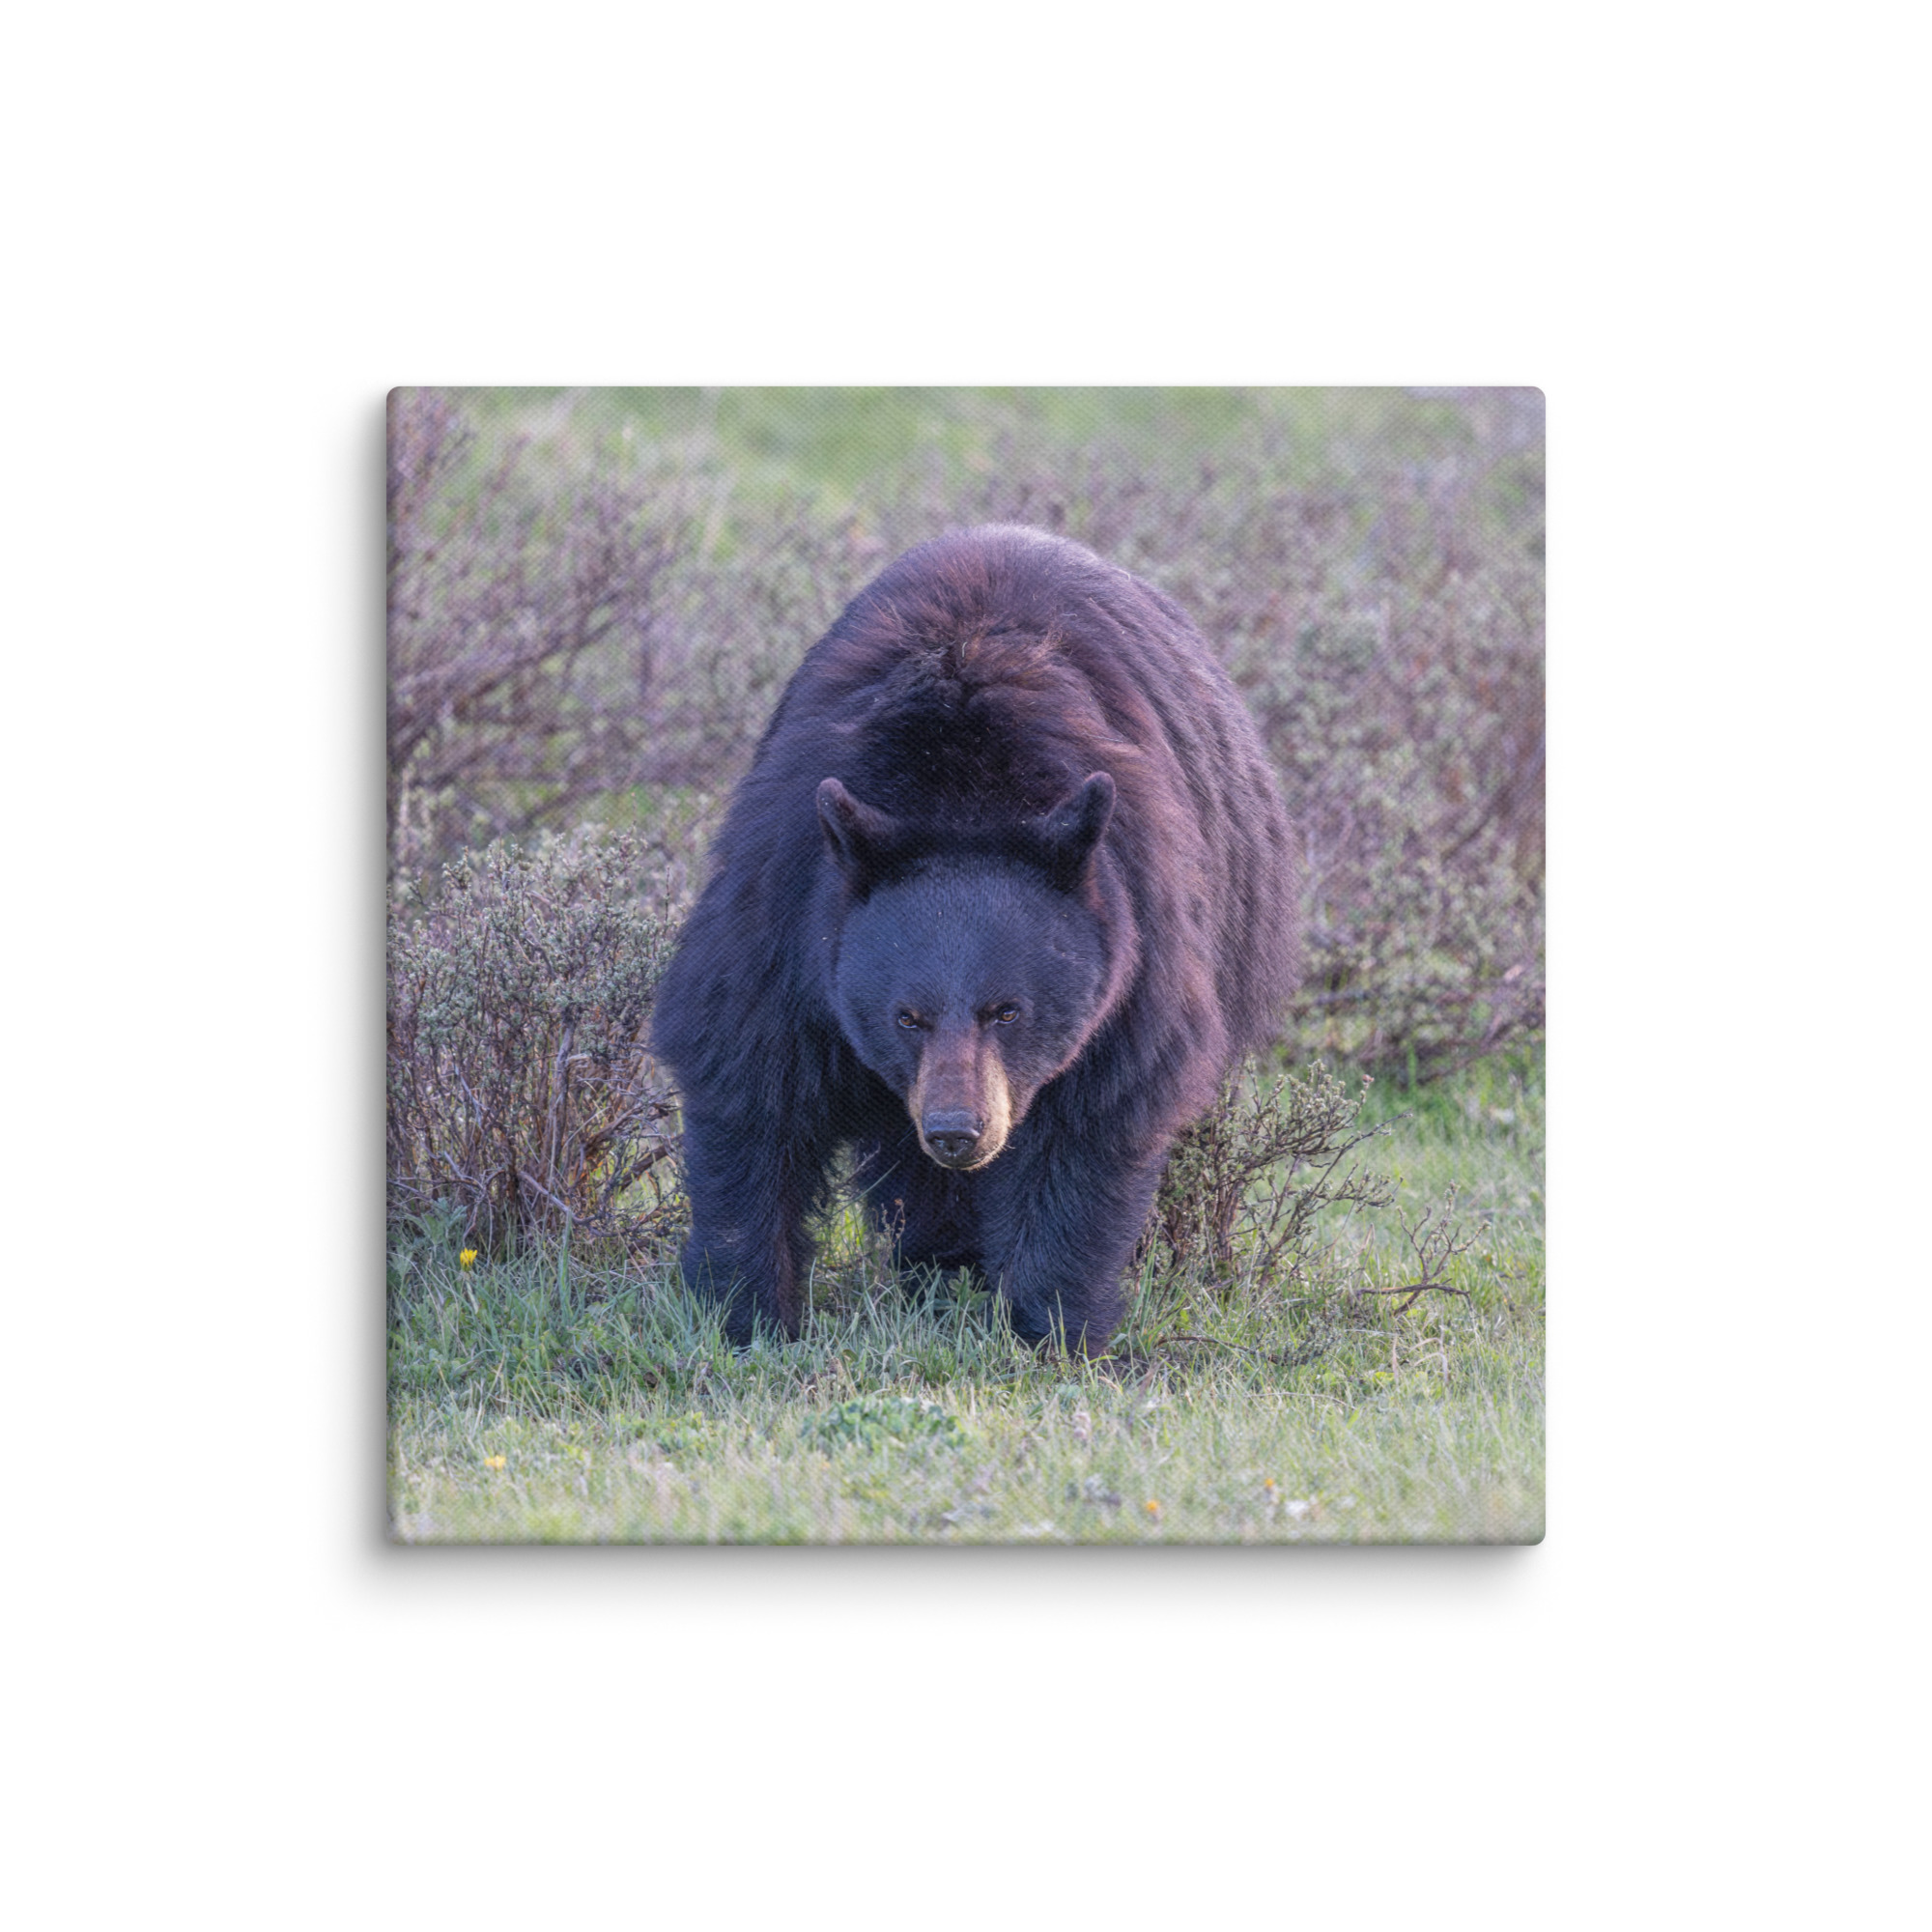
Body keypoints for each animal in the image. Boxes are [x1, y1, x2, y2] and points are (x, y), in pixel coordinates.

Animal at [650, 524, 1300, 1353]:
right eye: (907, 1016)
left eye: (1008, 1010)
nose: (959, 1132)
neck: (959, 791)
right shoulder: (788, 906)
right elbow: (749, 1080)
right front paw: (747, 1312)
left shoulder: (1138, 936)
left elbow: (1091, 1122)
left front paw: (1055, 1326)